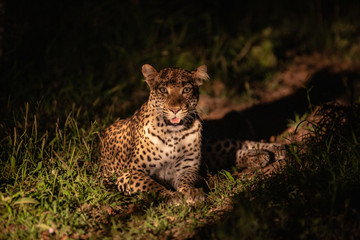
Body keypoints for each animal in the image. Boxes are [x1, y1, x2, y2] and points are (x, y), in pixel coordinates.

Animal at [100, 64, 286, 204]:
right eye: (163, 90)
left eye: (186, 90)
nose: (175, 109)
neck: (172, 134)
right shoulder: (129, 173)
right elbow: (150, 185)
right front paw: (171, 196)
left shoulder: (187, 166)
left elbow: (187, 180)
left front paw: (191, 193)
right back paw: (260, 157)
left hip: (210, 145)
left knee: (236, 143)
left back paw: (277, 149)